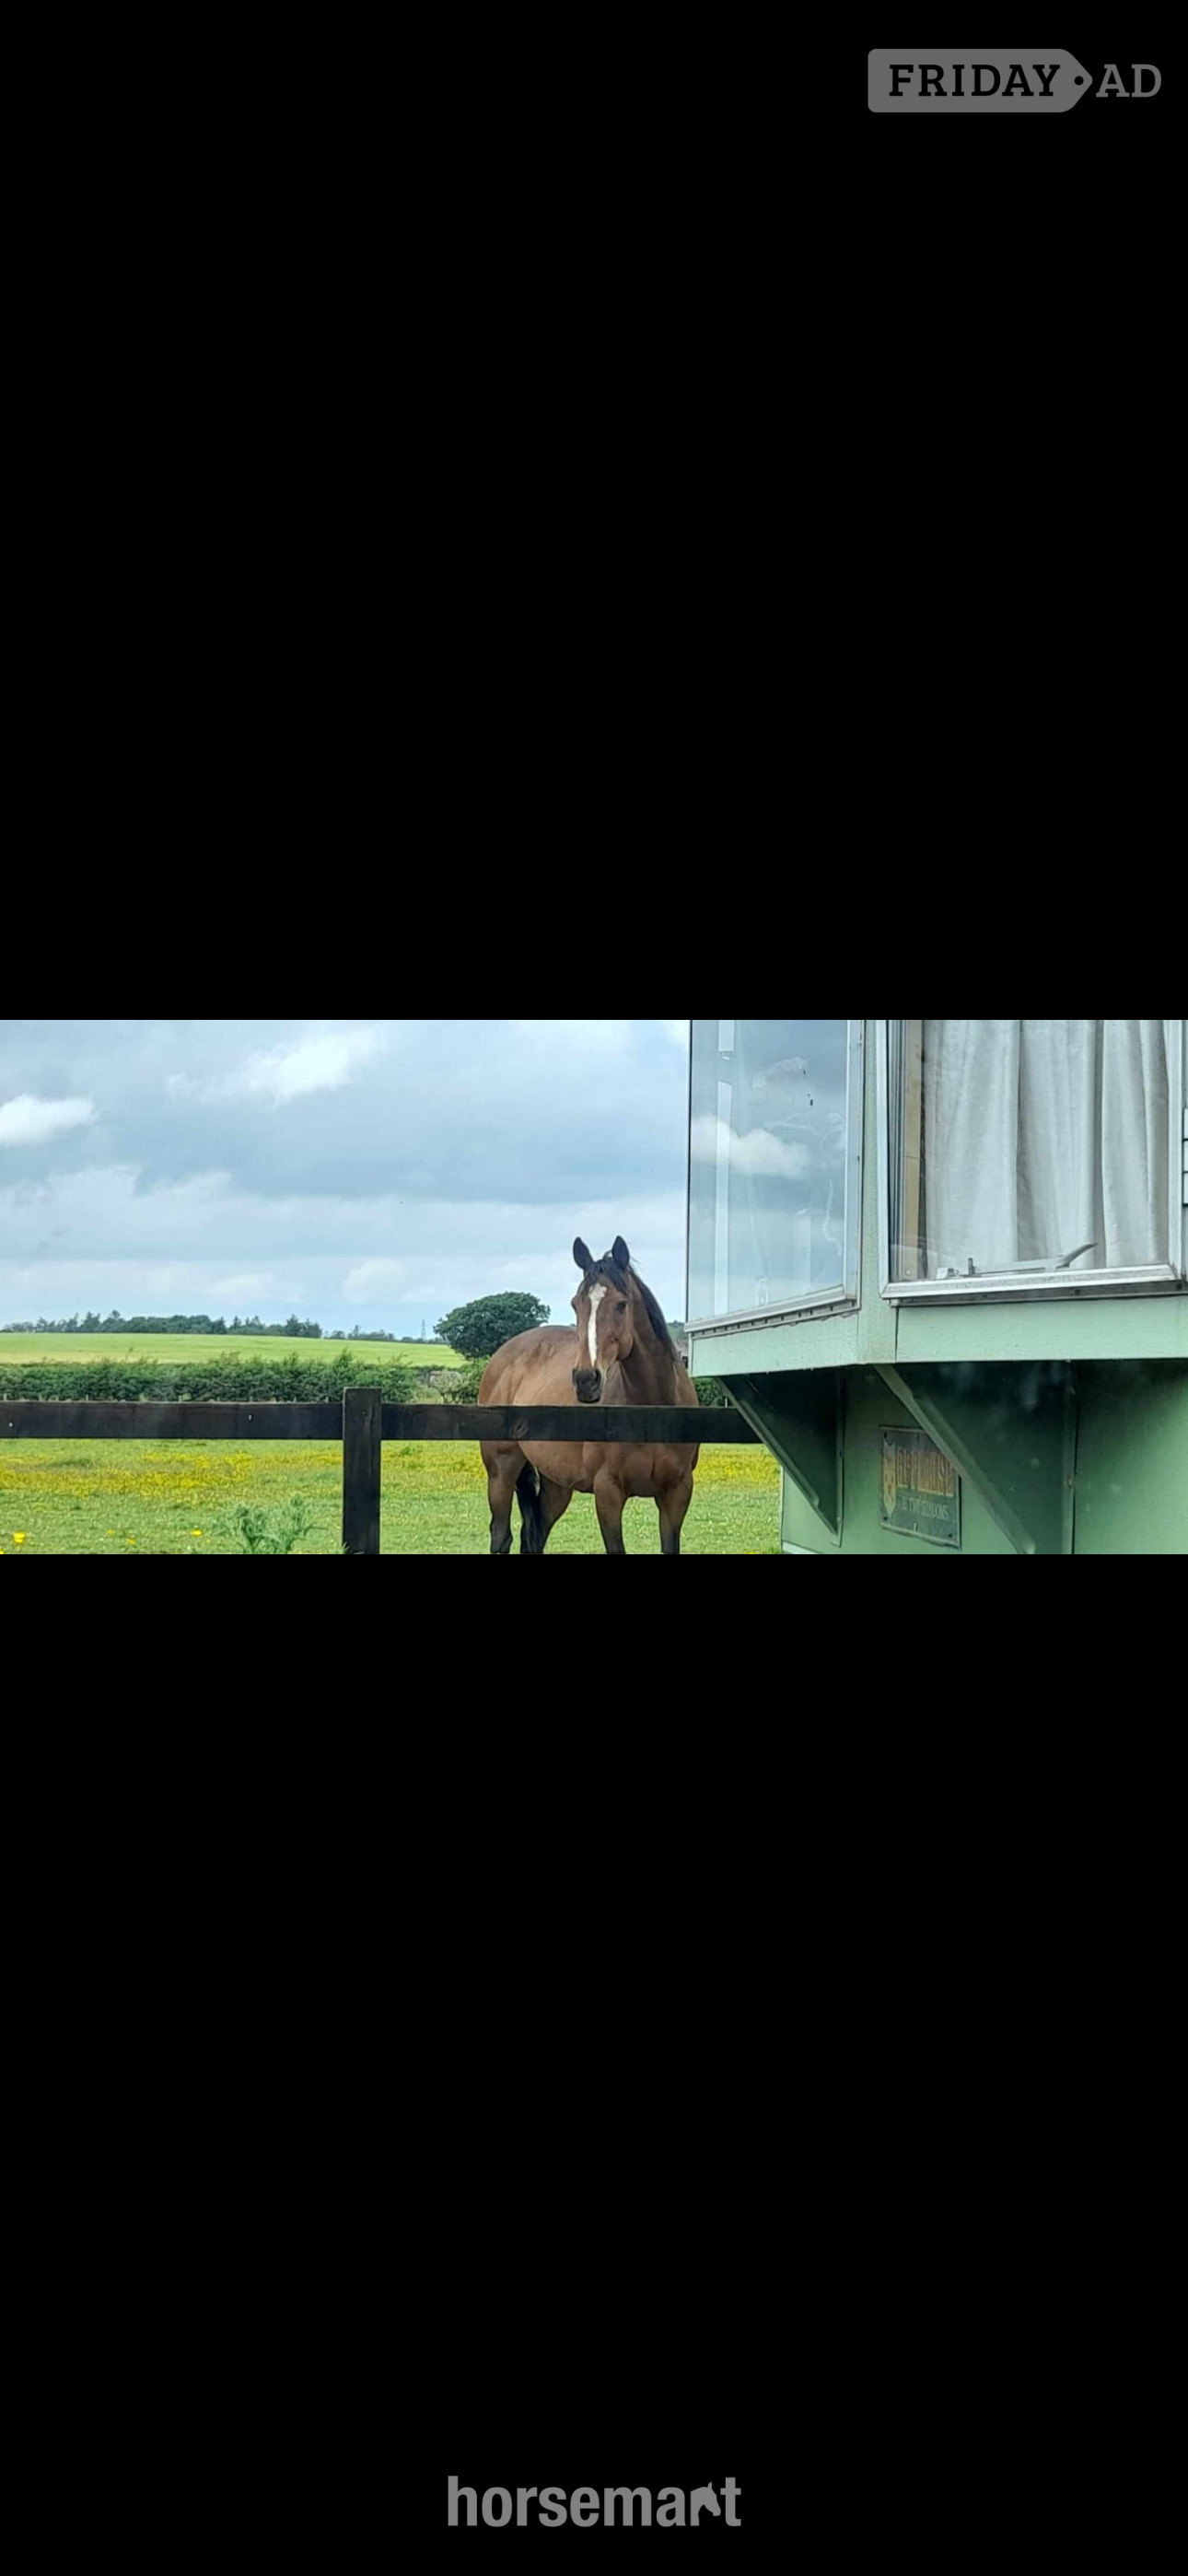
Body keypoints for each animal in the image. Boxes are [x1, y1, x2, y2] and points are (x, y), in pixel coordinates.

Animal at [479, 1235, 701, 1555]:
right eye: (576, 1304)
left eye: (621, 1304)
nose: (586, 1380)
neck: (652, 1409)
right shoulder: (608, 1492)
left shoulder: (677, 1493)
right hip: (501, 1471)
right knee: (500, 1536)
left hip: (556, 1484)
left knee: (535, 1534)